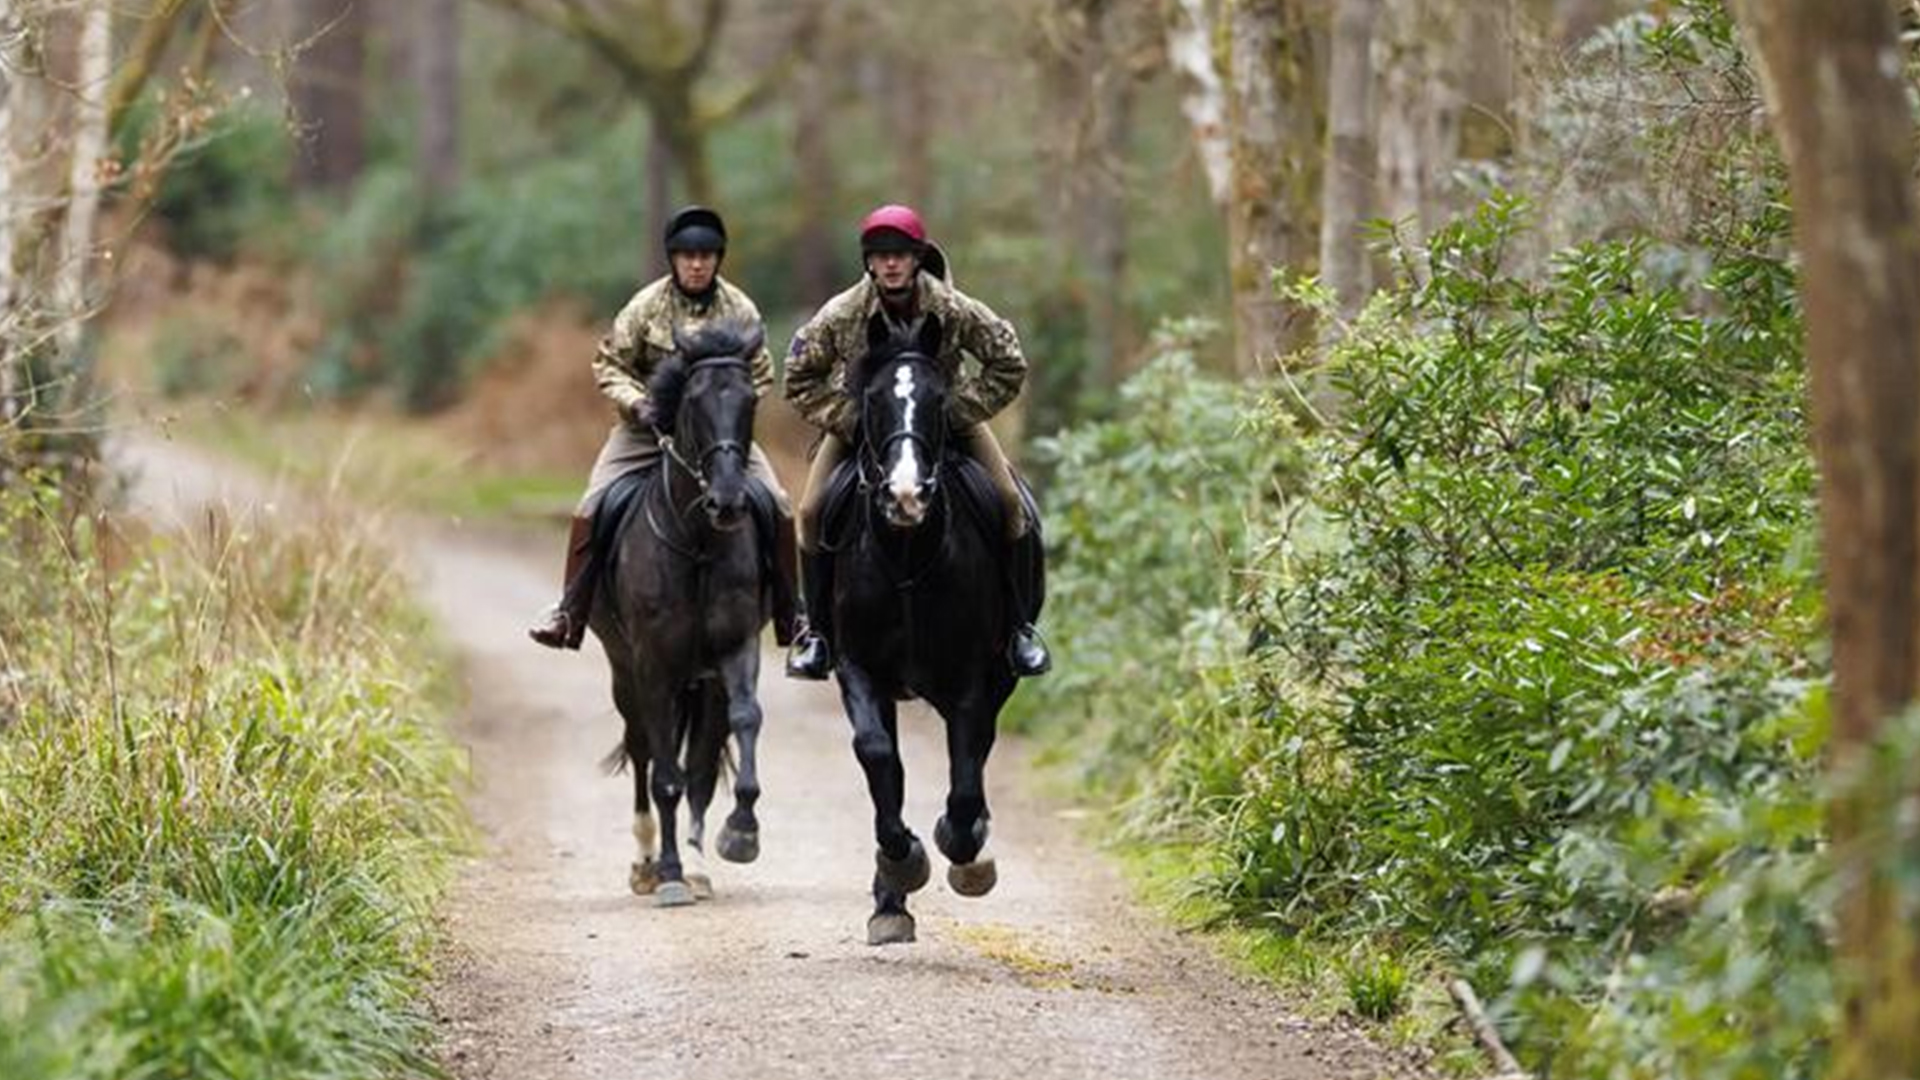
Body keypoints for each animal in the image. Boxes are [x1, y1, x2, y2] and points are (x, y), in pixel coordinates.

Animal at [590, 320, 772, 908]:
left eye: (750, 399)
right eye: (693, 401)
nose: (727, 502)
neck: (696, 545)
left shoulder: (736, 650)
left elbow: (741, 725)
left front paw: (739, 834)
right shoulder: (651, 665)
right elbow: (663, 771)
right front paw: (668, 874)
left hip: (701, 682)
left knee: (700, 758)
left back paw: (694, 861)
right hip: (626, 673)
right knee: (644, 748)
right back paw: (649, 863)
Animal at [819, 312, 1041, 945]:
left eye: (941, 400)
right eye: (872, 399)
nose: (905, 495)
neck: (907, 557)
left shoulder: (970, 677)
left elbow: (965, 778)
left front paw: (966, 854)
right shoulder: (858, 668)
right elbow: (878, 757)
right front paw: (902, 863)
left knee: (977, 751)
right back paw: (890, 901)